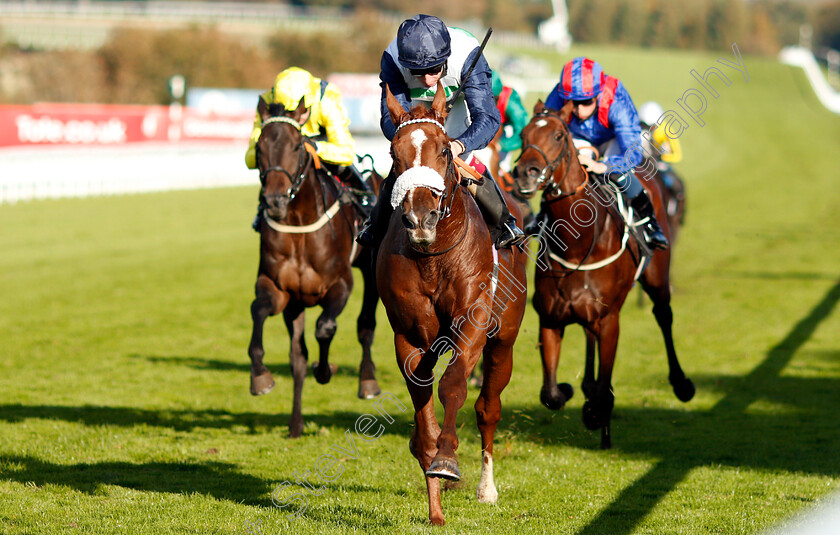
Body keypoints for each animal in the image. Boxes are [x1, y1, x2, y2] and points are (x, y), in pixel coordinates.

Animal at [248, 98, 382, 438]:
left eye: (296, 145)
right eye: (259, 146)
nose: (275, 201)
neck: (299, 224)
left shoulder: (340, 285)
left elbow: (325, 328)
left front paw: (325, 370)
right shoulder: (280, 289)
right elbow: (259, 311)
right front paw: (260, 377)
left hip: (371, 270)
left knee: (366, 326)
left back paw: (367, 381)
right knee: (297, 356)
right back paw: (295, 424)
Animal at [378, 85, 528, 528]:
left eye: (445, 150)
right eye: (394, 153)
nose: (420, 218)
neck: (432, 256)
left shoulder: (472, 322)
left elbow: (454, 385)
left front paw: (445, 459)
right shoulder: (409, 336)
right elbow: (421, 396)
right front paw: (434, 501)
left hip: (504, 342)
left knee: (488, 408)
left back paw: (486, 487)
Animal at [512, 99, 696, 448]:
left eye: (558, 136)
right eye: (523, 134)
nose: (524, 173)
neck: (577, 243)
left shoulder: (610, 320)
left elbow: (604, 391)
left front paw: (596, 413)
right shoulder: (550, 318)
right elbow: (550, 394)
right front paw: (571, 391)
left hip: (656, 277)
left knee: (663, 315)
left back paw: (681, 383)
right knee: (588, 337)